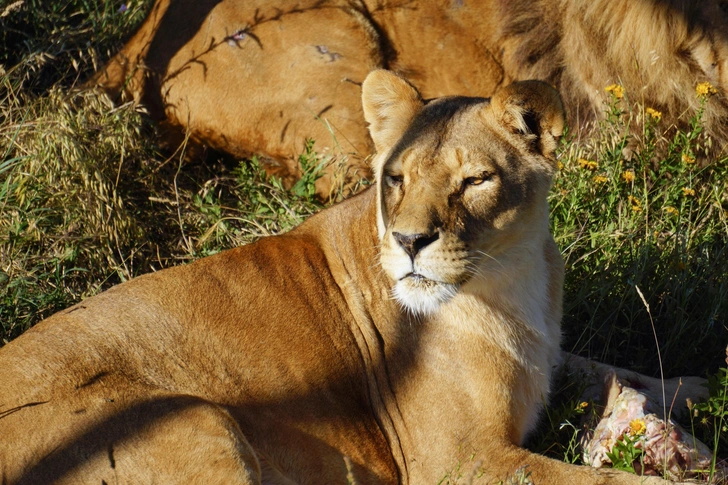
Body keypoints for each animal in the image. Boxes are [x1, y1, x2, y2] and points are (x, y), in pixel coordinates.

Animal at [0, 70, 688, 482]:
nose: (410, 241)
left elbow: (613, 367)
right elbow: (606, 480)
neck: (511, 279)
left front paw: (689, 385)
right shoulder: (460, 459)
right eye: (397, 178)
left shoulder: (546, 355)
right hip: (189, 419)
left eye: (475, 179)